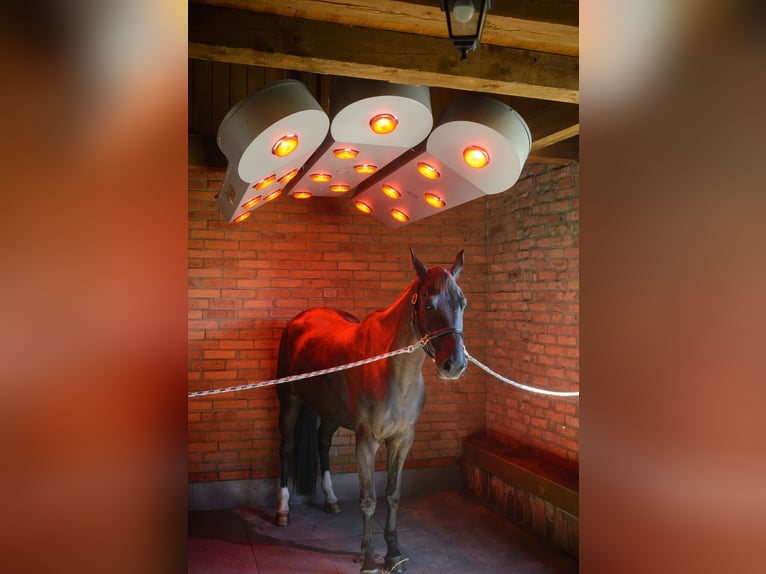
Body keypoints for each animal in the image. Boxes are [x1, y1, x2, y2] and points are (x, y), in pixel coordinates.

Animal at [274, 248, 468, 573]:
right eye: (428, 303)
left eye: (462, 303)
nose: (453, 364)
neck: (392, 370)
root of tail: (299, 321)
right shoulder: (366, 440)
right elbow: (369, 499)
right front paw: (367, 558)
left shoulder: (402, 440)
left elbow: (392, 495)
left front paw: (394, 553)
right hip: (289, 401)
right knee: (287, 448)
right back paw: (283, 509)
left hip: (330, 412)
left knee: (322, 442)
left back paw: (331, 499)